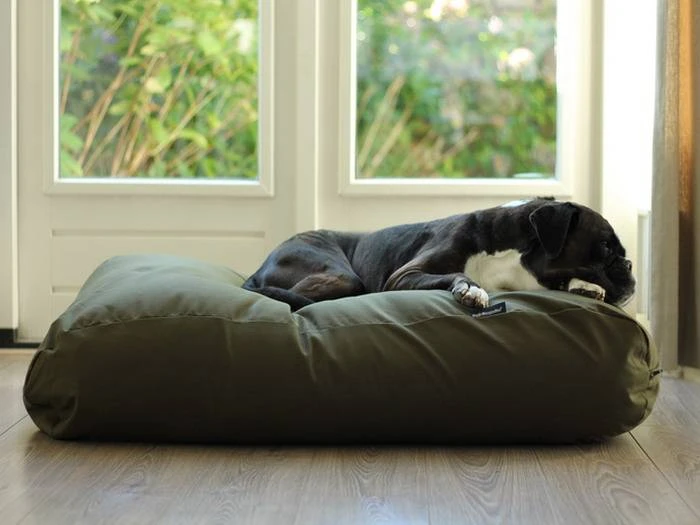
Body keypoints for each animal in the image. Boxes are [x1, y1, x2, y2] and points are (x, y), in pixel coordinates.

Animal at [243, 198, 635, 311]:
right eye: (605, 247)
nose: (630, 264)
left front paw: (586, 288)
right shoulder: (404, 277)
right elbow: (459, 274)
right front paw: (471, 289)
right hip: (340, 275)